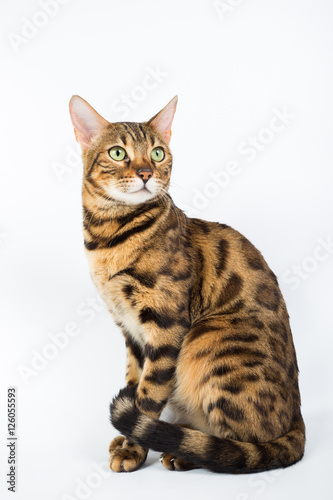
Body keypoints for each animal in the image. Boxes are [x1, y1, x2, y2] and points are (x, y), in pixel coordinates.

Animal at [68, 94, 304, 472]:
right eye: (118, 153)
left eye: (157, 153)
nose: (146, 173)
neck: (110, 236)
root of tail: (297, 417)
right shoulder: (130, 330)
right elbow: (134, 383)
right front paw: (127, 438)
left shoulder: (166, 325)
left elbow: (148, 396)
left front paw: (132, 449)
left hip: (207, 342)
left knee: (243, 446)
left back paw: (187, 451)